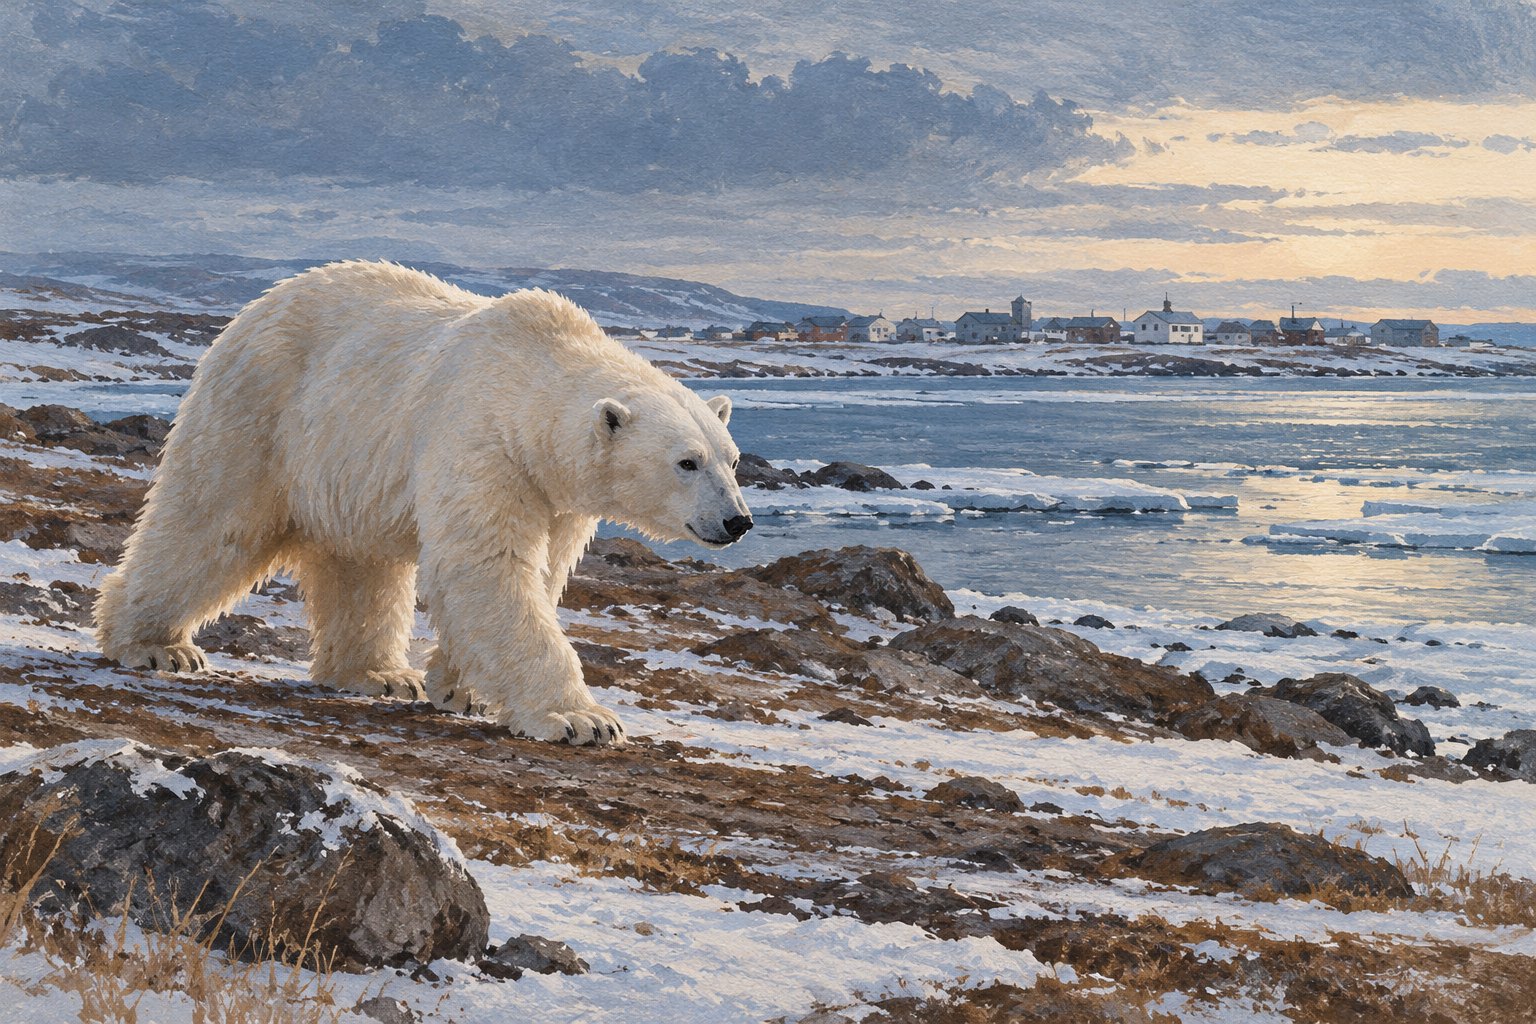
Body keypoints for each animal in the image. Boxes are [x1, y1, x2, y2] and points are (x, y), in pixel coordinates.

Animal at [94, 260, 753, 745]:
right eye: (687, 462)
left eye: (732, 457)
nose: (737, 521)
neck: (530, 383)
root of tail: (255, 308)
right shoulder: (480, 439)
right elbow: (487, 565)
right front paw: (582, 718)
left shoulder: (556, 492)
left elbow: (535, 572)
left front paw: (458, 686)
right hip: (263, 412)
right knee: (212, 522)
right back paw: (156, 646)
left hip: (346, 463)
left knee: (362, 566)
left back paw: (379, 675)